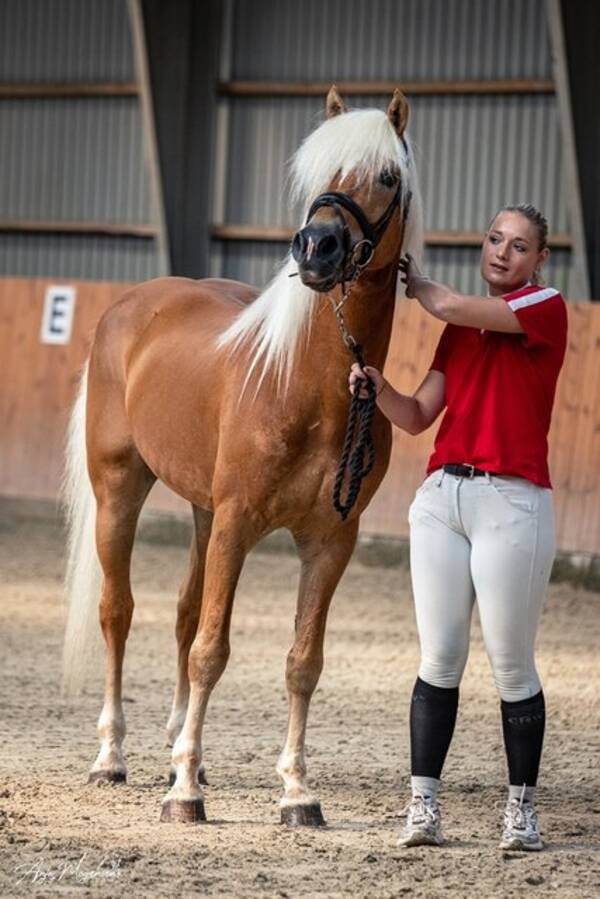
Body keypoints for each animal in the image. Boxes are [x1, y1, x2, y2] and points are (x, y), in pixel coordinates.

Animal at [63, 88, 422, 828]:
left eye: (386, 176)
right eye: (315, 169)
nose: (317, 246)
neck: (309, 384)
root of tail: (131, 305)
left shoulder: (330, 541)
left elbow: (302, 660)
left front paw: (296, 791)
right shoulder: (237, 522)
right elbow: (212, 650)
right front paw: (185, 794)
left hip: (201, 511)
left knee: (180, 613)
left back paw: (181, 751)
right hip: (121, 489)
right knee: (119, 611)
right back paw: (113, 755)